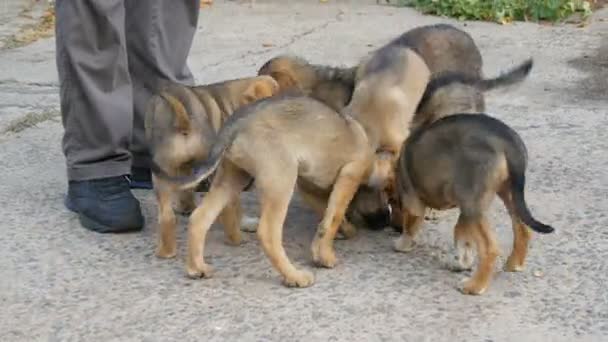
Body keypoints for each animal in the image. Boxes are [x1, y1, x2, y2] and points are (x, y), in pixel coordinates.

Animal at [148, 92, 394, 288]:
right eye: (388, 193)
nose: (385, 221)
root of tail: (238, 122)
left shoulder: (308, 187)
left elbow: (327, 215)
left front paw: (338, 236)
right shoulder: (349, 175)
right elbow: (332, 218)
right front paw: (325, 256)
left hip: (232, 177)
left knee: (200, 217)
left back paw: (196, 268)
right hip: (281, 180)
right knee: (267, 233)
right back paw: (294, 276)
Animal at [390, 113, 556, 296]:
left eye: (394, 202)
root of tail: (507, 141)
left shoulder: (414, 203)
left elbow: (410, 227)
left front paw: (402, 244)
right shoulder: (466, 207)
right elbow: (461, 234)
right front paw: (461, 261)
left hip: (475, 205)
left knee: (490, 248)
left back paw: (475, 286)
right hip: (505, 194)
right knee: (523, 229)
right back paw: (514, 264)